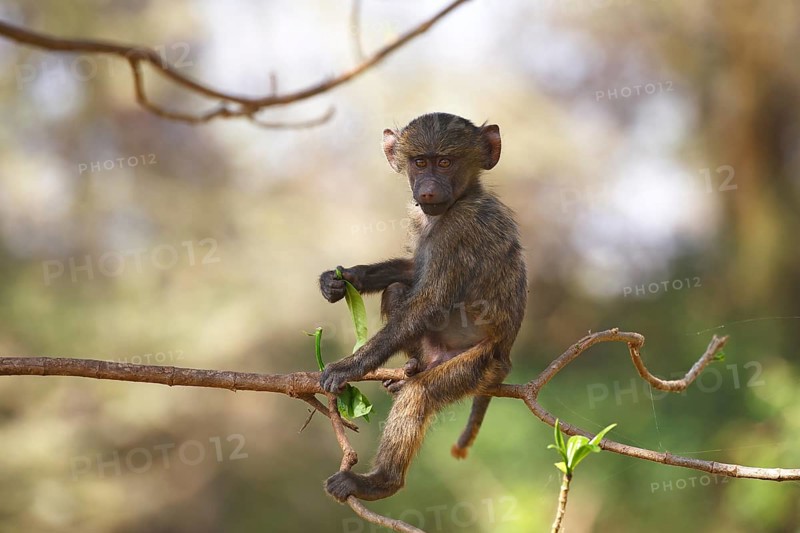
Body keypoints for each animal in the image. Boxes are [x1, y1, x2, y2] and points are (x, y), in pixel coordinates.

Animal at [318, 112, 527, 502]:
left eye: (444, 162)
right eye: (419, 163)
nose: (427, 190)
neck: (459, 200)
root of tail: (505, 355)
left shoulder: (459, 230)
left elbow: (429, 301)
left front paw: (348, 367)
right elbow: (413, 272)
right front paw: (342, 279)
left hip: (478, 364)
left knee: (421, 393)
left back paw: (379, 482)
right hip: (437, 350)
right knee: (397, 291)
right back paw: (413, 366)